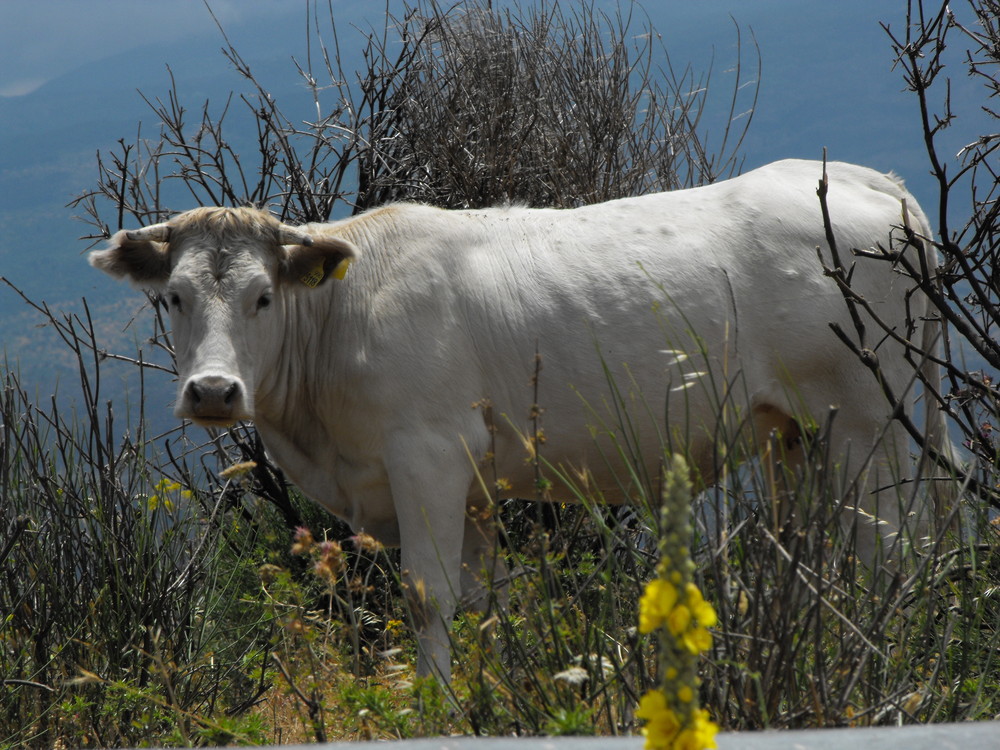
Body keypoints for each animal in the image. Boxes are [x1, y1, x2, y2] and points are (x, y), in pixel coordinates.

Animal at [90, 160, 948, 688]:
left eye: (264, 296)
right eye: (174, 297)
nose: (212, 391)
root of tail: (869, 182)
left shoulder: (428, 456)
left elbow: (426, 598)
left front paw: (434, 706)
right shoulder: (472, 488)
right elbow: (483, 603)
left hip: (869, 421)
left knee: (888, 549)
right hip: (793, 434)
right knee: (815, 550)